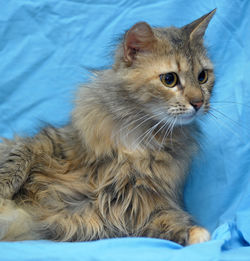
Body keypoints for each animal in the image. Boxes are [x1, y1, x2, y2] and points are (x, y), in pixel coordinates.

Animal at [0, 8, 215, 244]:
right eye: (169, 79)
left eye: (202, 77)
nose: (198, 103)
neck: (141, 136)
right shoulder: (49, 140)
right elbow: (15, 161)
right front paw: (4, 194)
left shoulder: (140, 203)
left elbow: (166, 221)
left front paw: (196, 233)